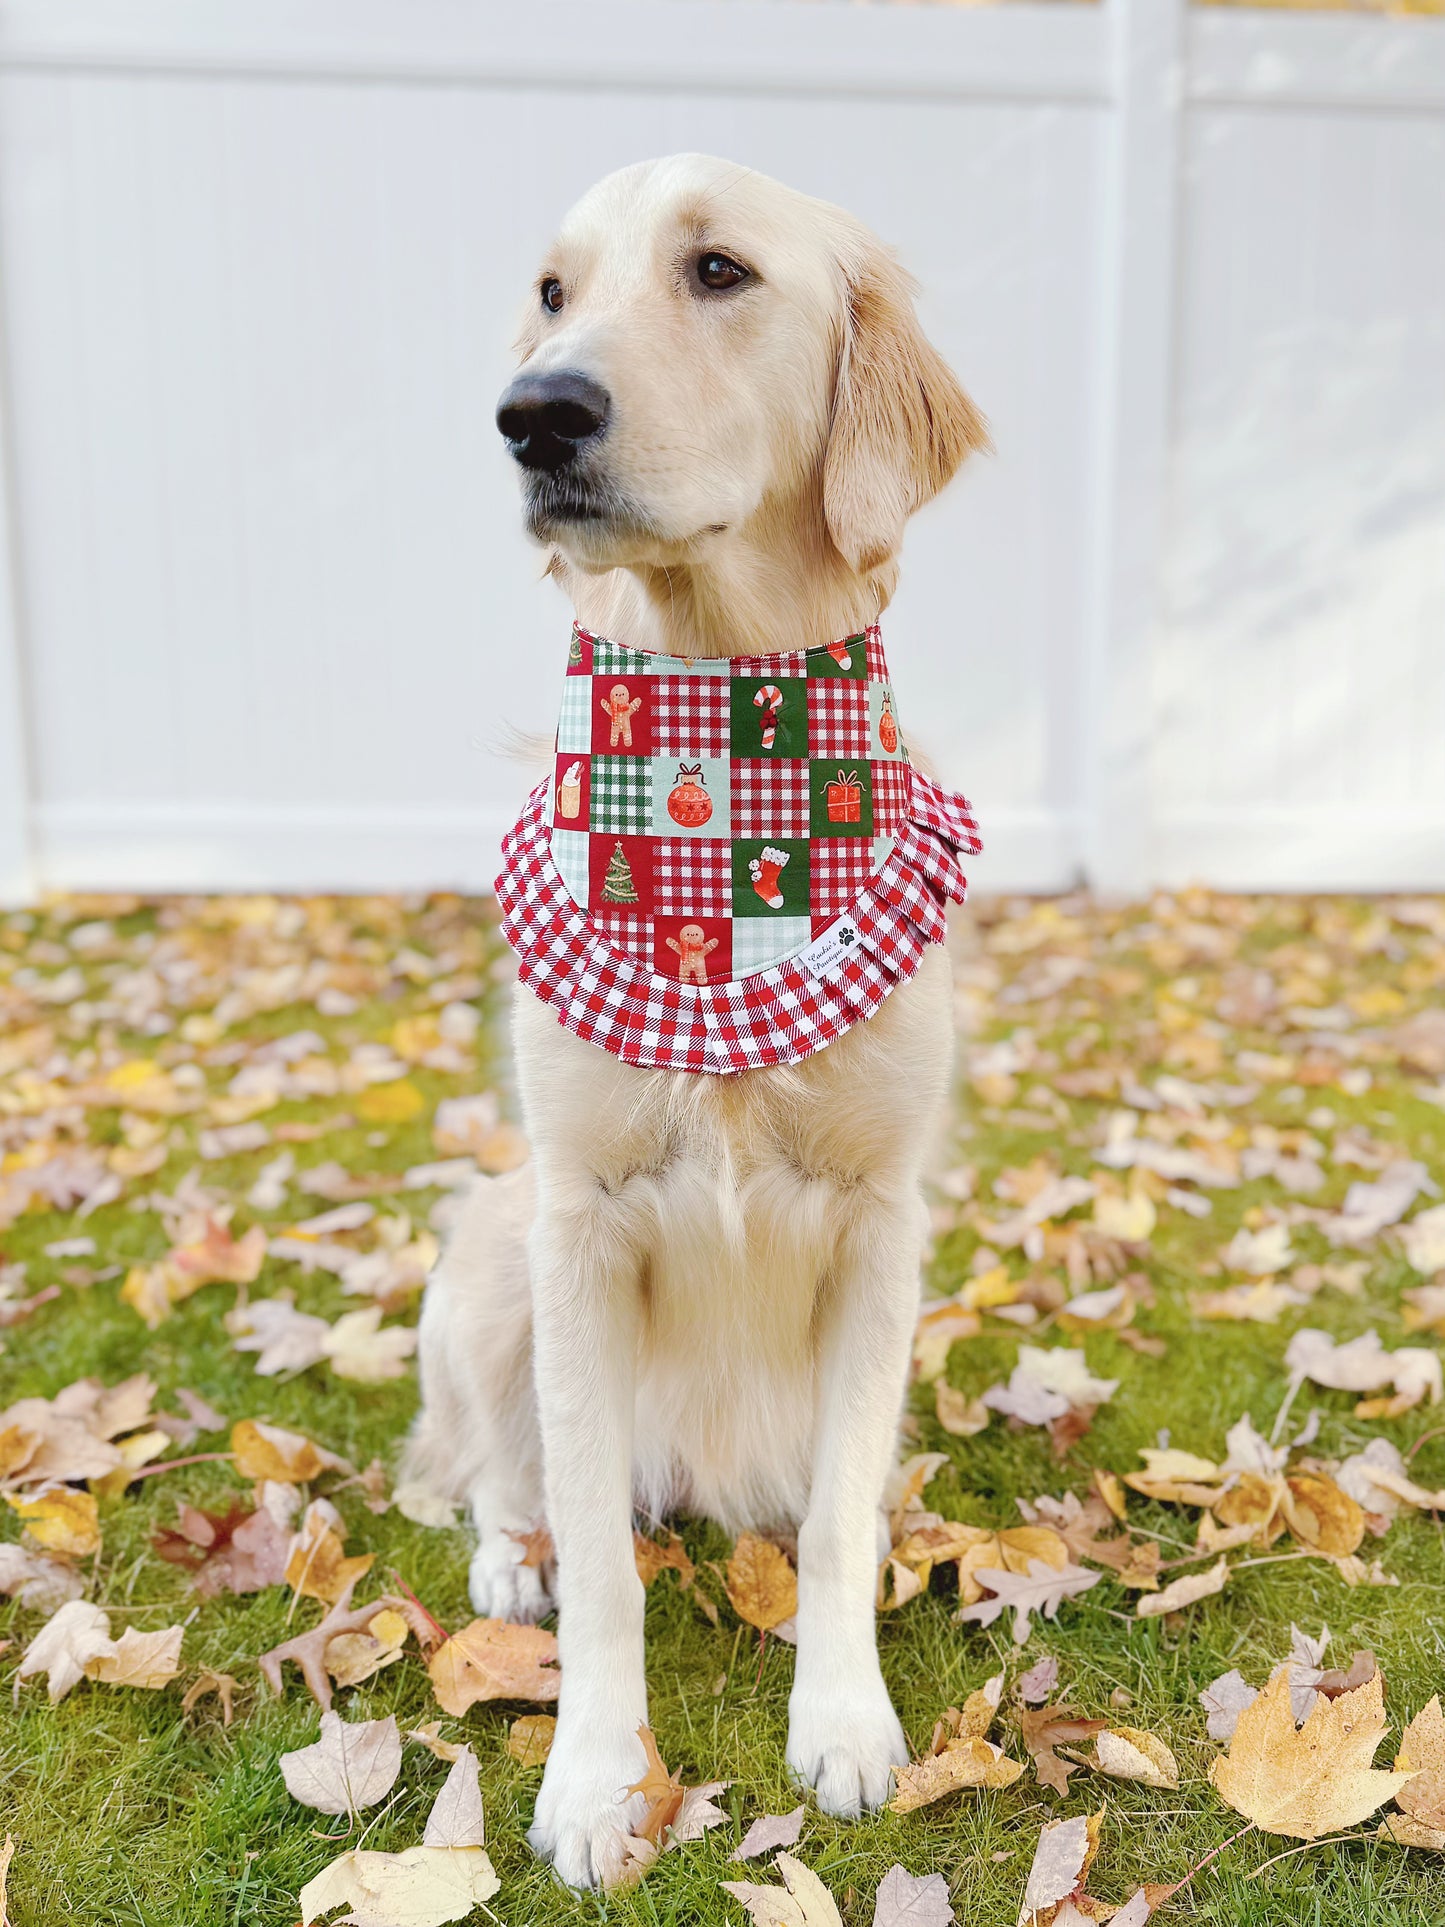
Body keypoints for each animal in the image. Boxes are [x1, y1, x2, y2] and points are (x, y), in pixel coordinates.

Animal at [412, 154, 994, 1896]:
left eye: (719, 271)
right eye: (551, 291)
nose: (532, 412)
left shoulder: (882, 1222)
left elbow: (847, 1513)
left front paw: (847, 1718)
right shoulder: (581, 1217)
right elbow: (607, 1567)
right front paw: (600, 1779)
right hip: (487, 1247)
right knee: (496, 1471)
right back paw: (509, 1559)